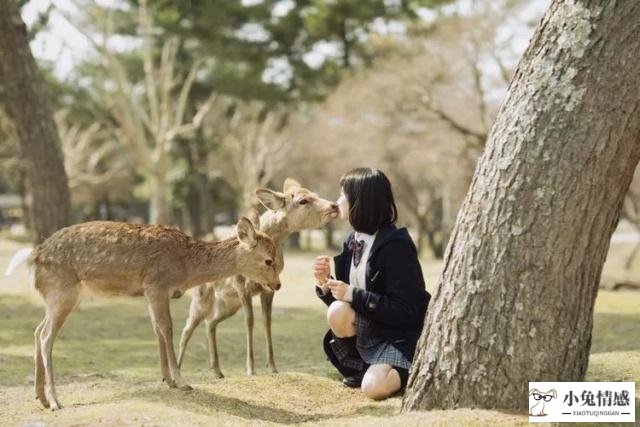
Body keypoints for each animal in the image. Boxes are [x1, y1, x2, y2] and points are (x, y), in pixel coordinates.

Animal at [3, 217, 278, 412]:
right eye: (268, 260)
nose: (277, 285)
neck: (186, 267)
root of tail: (34, 256)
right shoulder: (157, 284)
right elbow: (167, 328)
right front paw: (182, 381)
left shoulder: (150, 291)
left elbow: (157, 328)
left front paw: (167, 379)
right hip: (63, 290)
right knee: (47, 336)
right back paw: (55, 401)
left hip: (54, 295)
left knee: (37, 330)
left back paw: (40, 397)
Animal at [178, 177, 340, 378]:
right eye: (303, 200)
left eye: (315, 193)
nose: (334, 206)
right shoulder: (241, 284)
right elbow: (250, 321)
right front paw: (250, 369)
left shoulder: (270, 288)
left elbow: (267, 321)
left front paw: (273, 367)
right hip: (202, 296)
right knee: (188, 327)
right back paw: (177, 370)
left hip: (229, 305)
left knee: (210, 322)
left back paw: (217, 370)